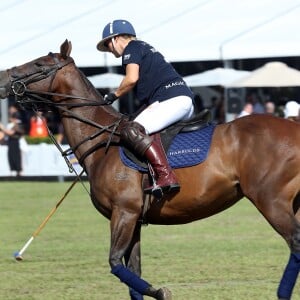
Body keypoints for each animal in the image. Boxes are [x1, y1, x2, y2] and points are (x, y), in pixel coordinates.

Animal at [0, 40, 300, 300]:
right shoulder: (134, 218)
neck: (102, 140)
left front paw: (161, 291)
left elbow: (116, 264)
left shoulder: (124, 212)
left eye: (39, 64)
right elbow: (132, 271)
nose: (3, 78)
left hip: (271, 200)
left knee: (295, 243)